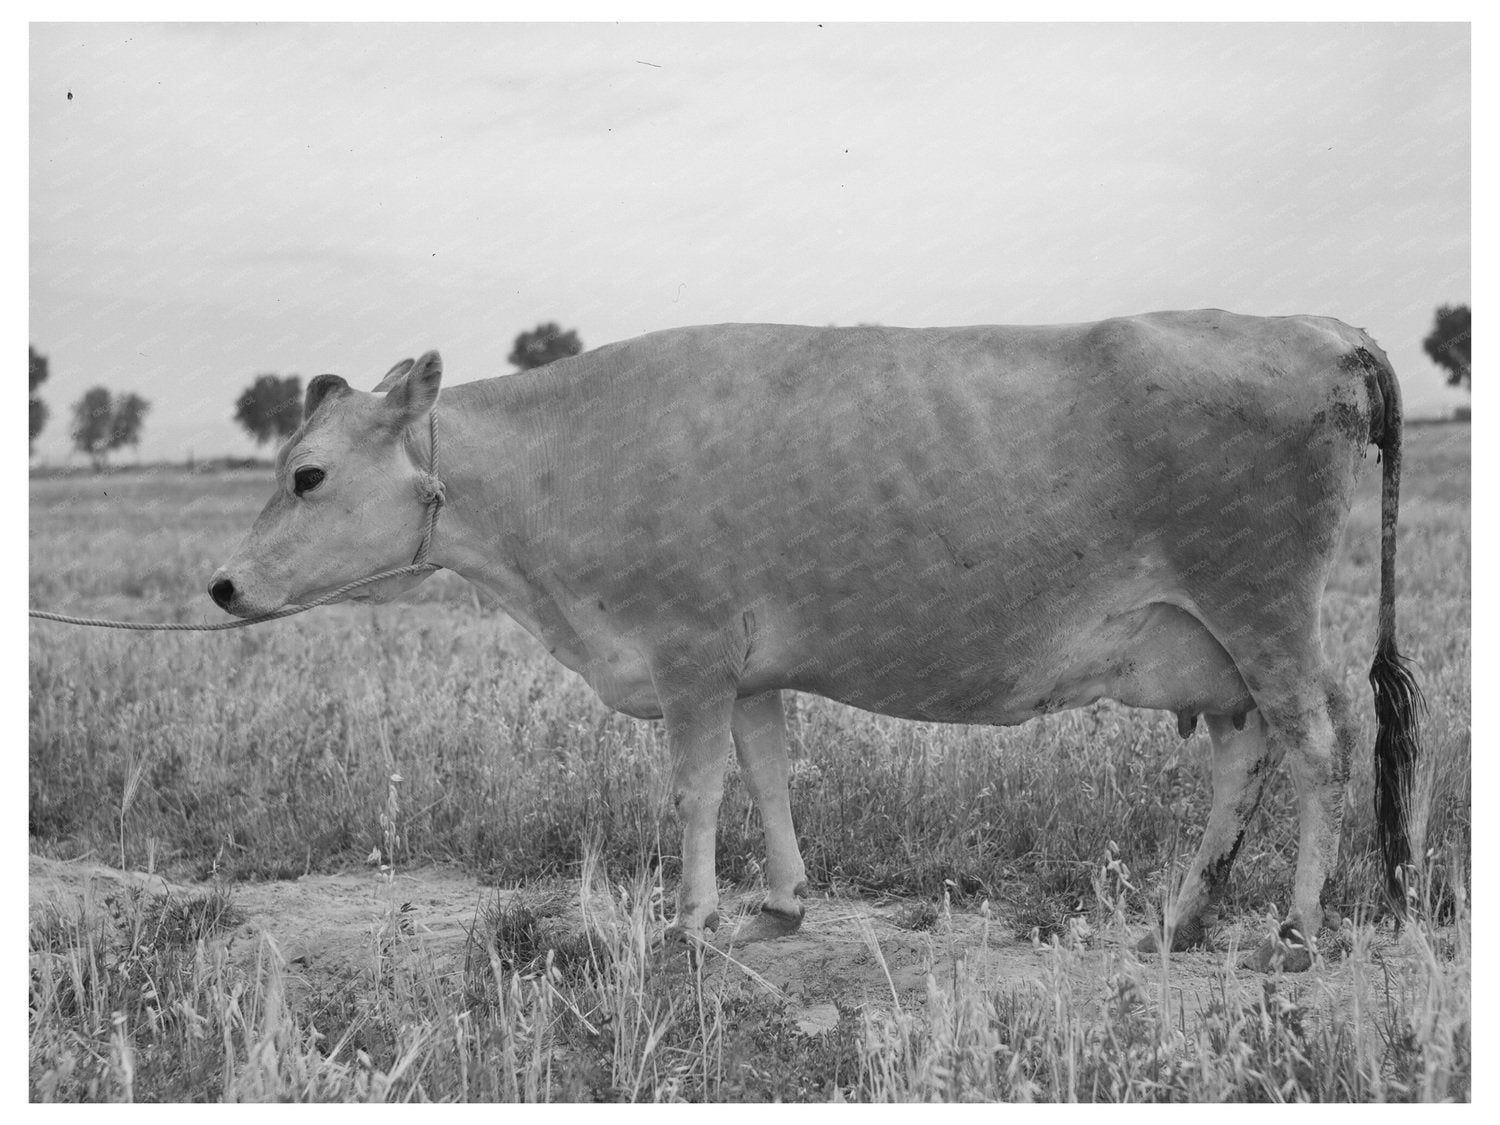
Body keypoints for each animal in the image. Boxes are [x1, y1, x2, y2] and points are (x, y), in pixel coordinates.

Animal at [209, 310, 1420, 970]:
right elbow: (769, 773)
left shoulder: (690, 655)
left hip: (1265, 608)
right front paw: (780, 906)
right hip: (1216, 643)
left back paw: (1293, 932)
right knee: (1245, 754)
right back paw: (1182, 918)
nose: (221, 584)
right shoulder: (750, 672)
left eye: (307, 473)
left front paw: (690, 920)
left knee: (1321, 744)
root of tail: (1321, 328)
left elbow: (696, 789)